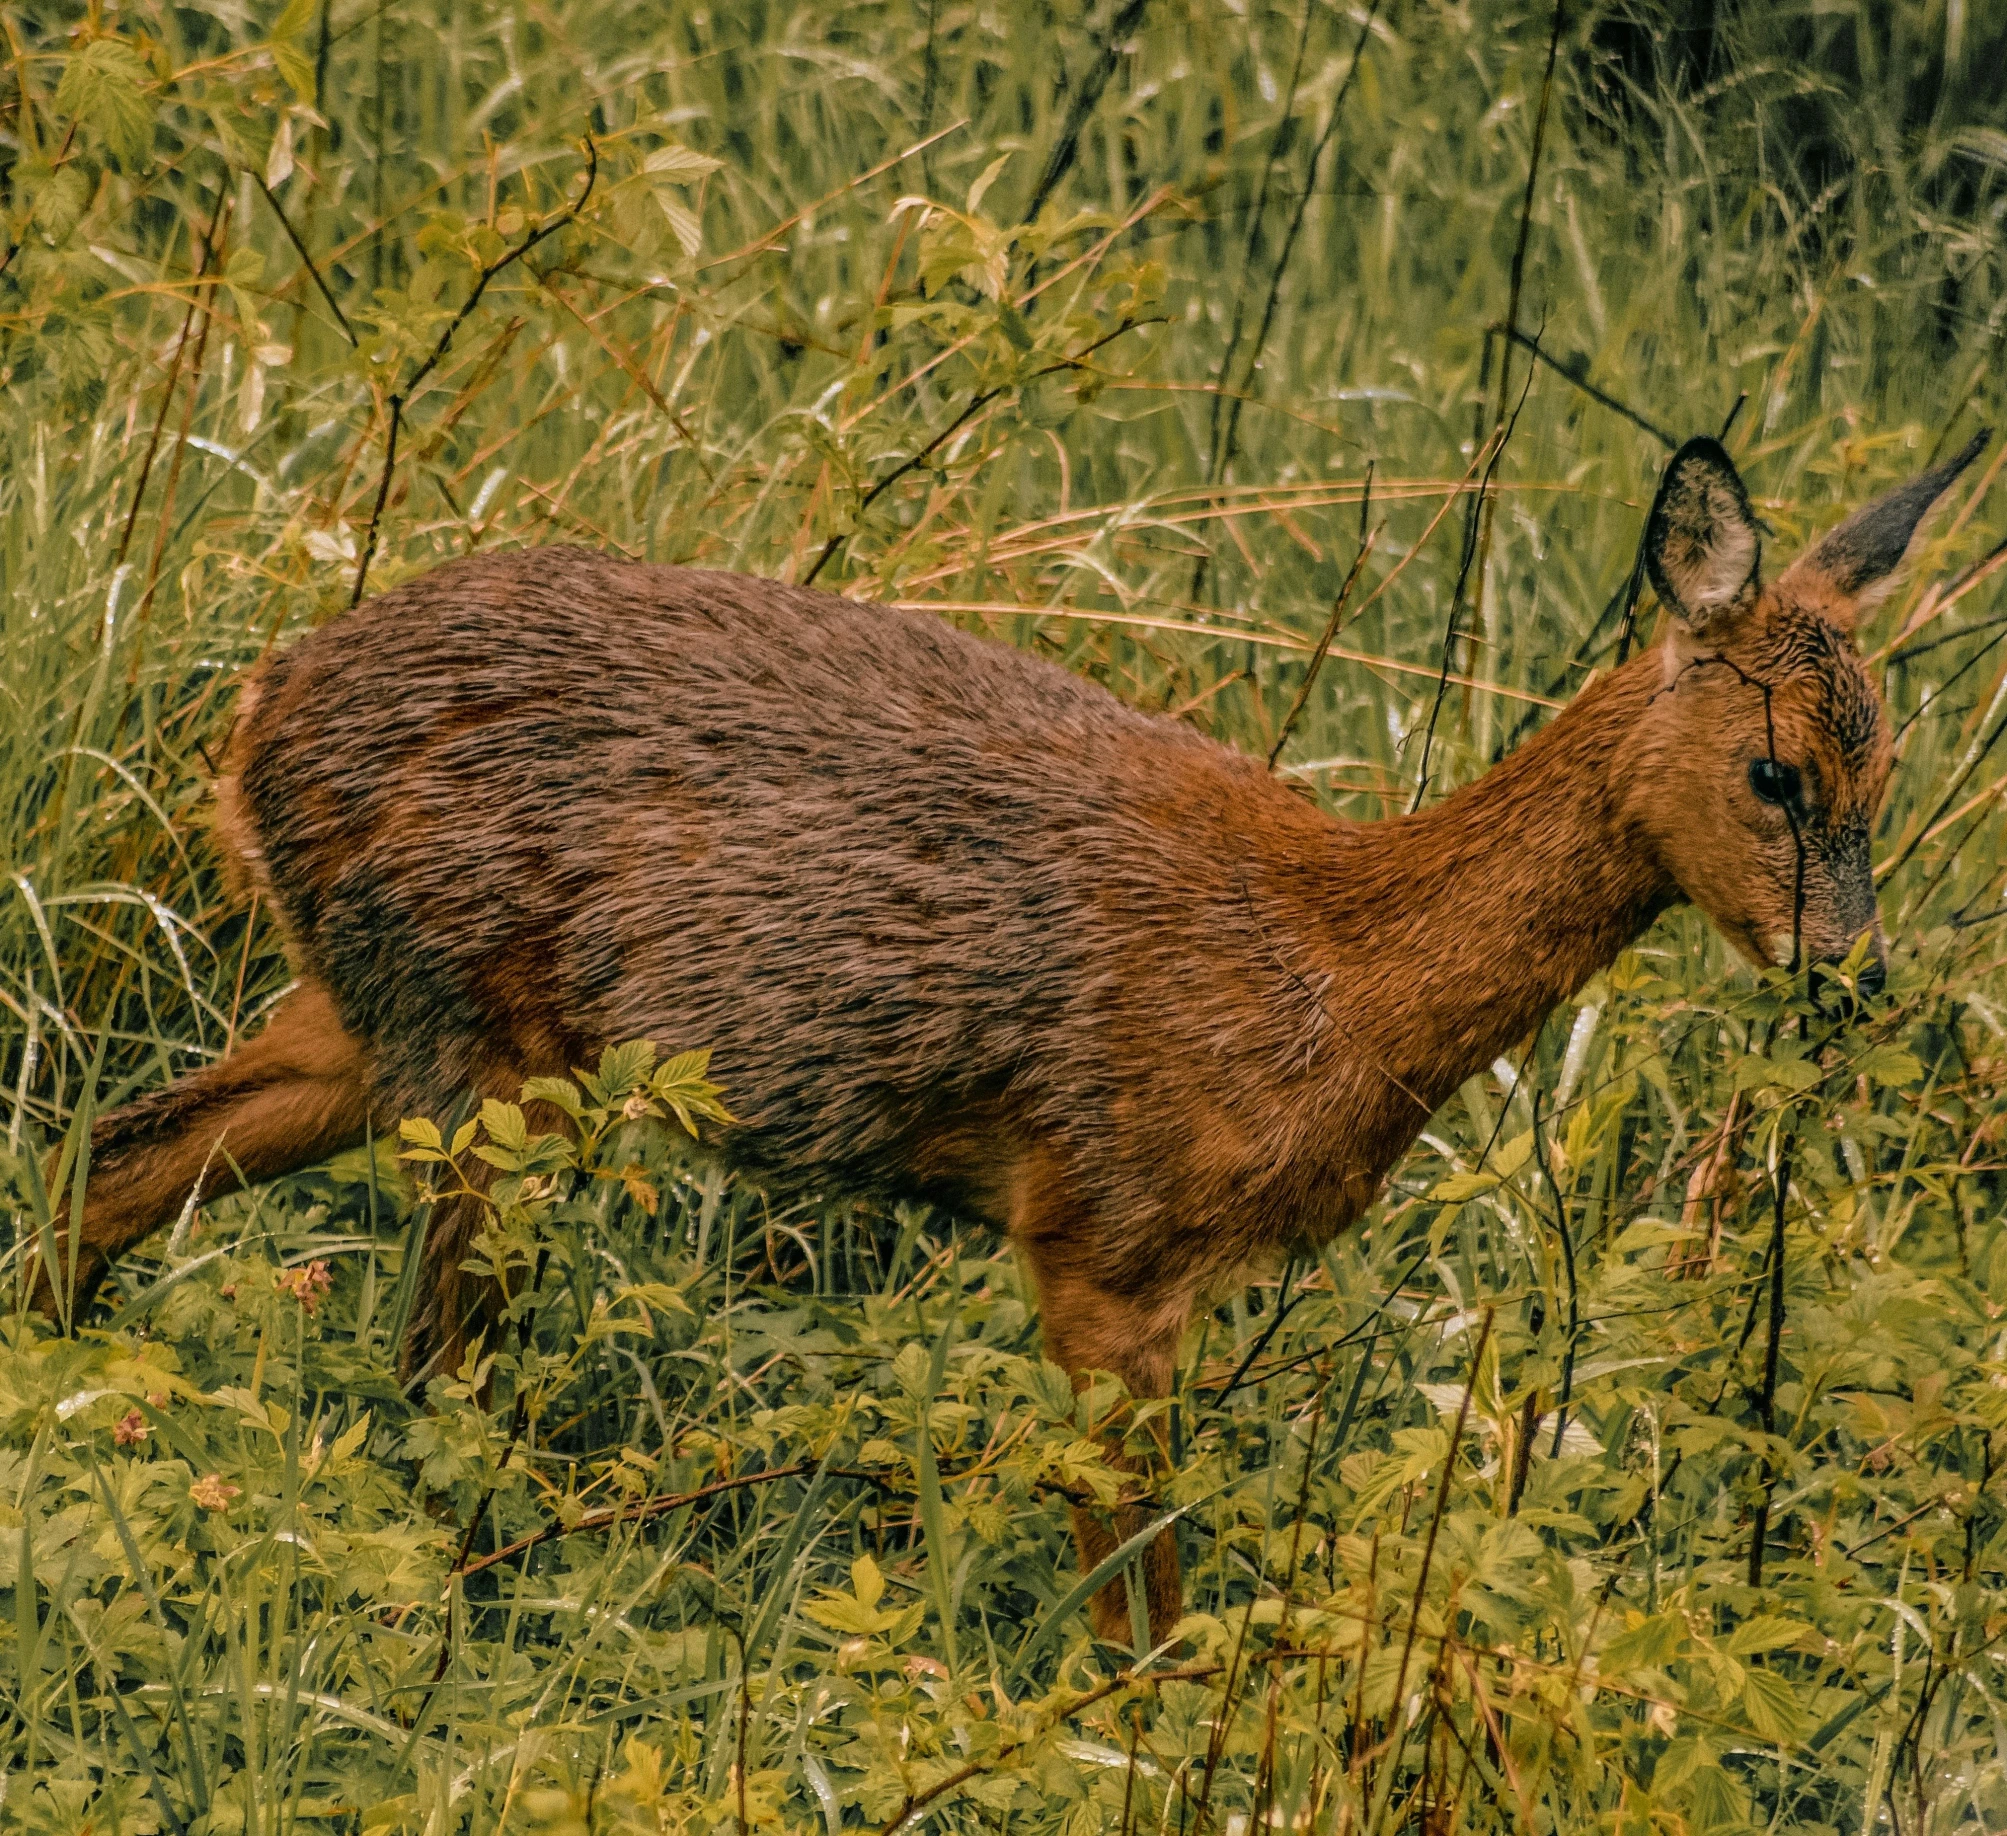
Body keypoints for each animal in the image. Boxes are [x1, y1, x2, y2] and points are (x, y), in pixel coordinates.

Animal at [23, 427, 1982, 1637]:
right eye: (1773, 773)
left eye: (1891, 763)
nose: (1855, 974)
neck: (1334, 965)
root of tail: (261, 712)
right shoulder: (1107, 1240)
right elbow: (1140, 1622)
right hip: (480, 1060)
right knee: (434, 1375)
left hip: (386, 1018)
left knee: (109, 1154)